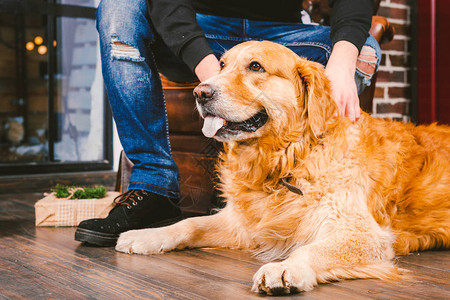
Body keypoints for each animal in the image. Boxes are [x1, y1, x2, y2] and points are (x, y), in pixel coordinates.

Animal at [117, 40, 450, 296]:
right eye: (221, 66)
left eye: (255, 67)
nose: (200, 92)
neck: (287, 161)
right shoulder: (244, 225)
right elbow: (189, 224)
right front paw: (146, 235)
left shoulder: (365, 234)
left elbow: (310, 249)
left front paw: (286, 267)